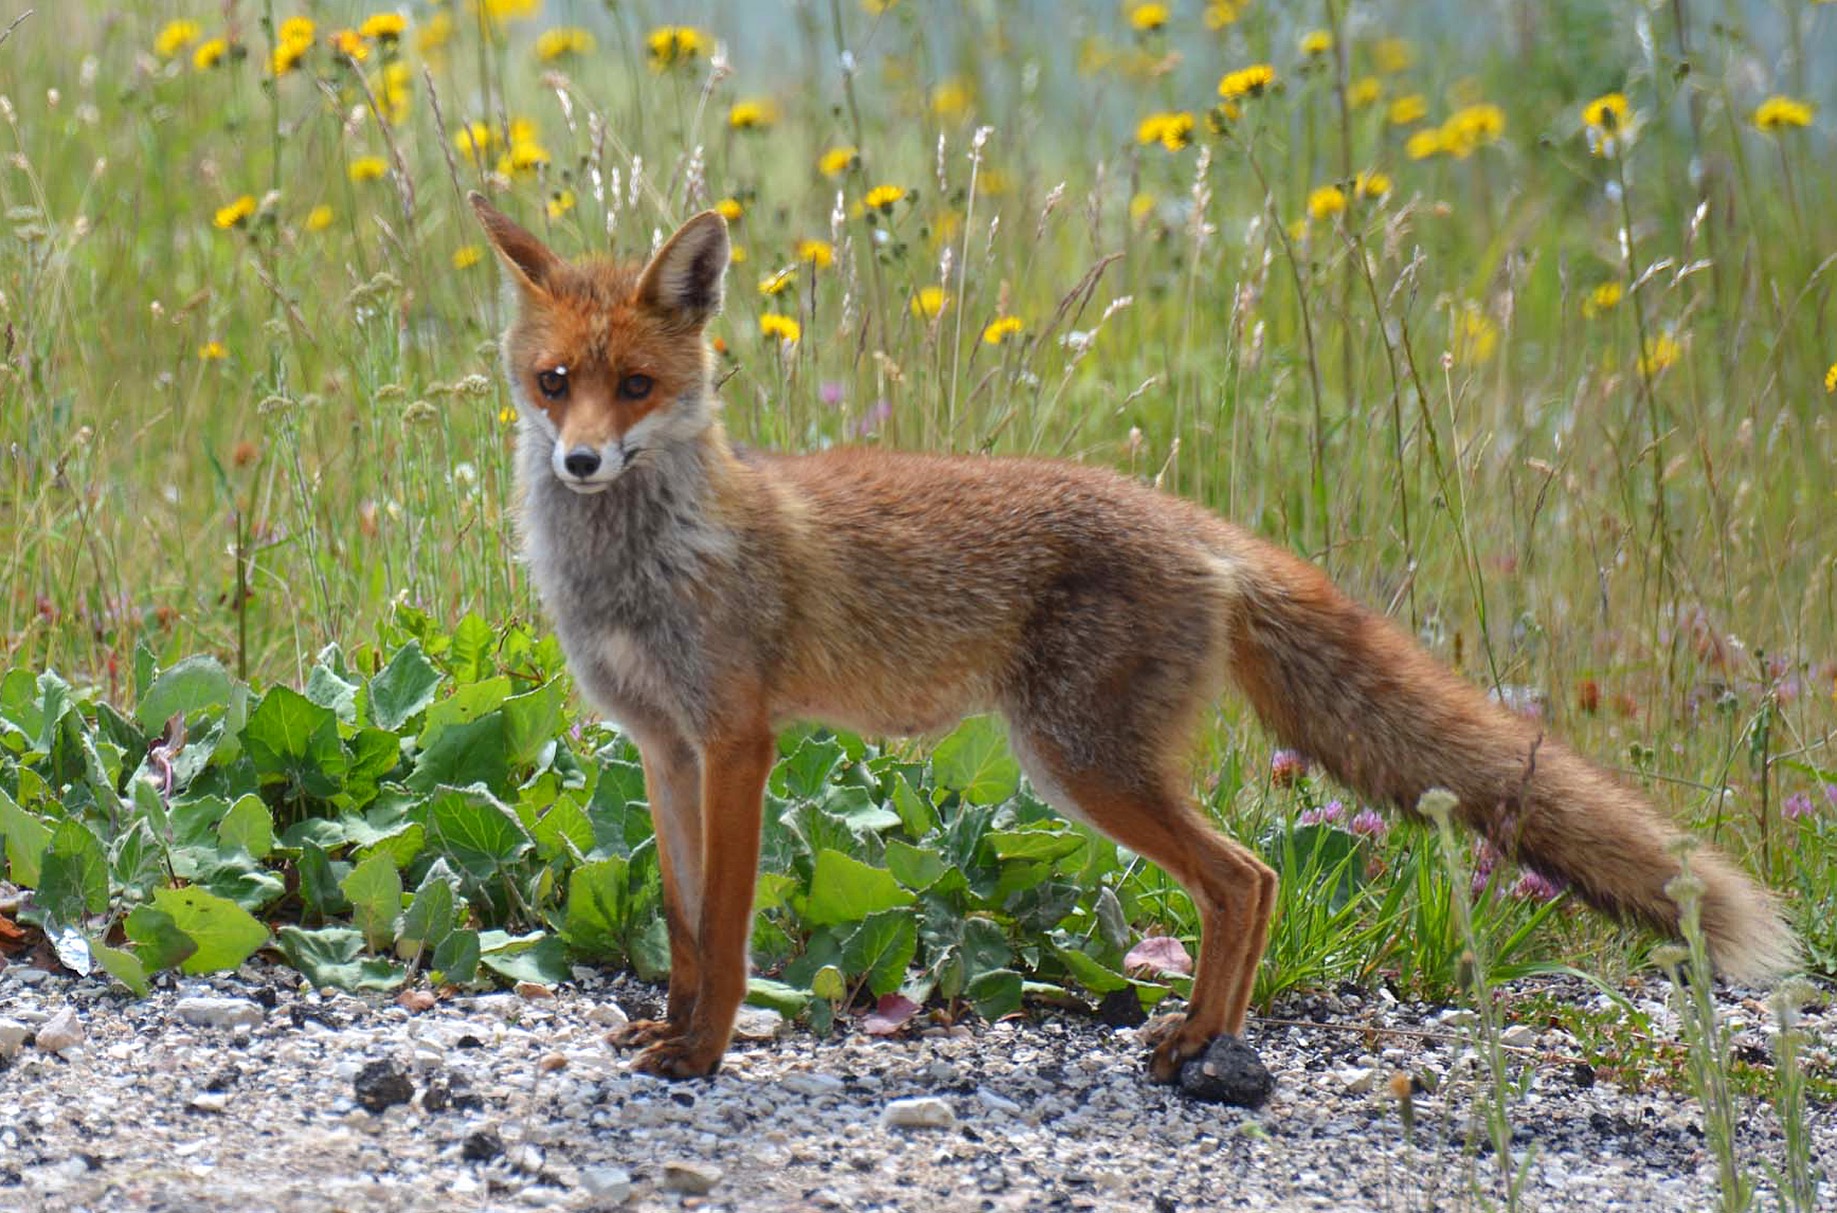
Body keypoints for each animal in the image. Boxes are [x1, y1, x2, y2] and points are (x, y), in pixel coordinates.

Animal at [469, 194, 1798, 1082]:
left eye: (637, 389)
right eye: (553, 383)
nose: (580, 463)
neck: (641, 569)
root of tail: (1198, 525)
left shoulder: (738, 741)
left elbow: (734, 924)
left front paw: (703, 1054)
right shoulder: (662, 748)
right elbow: (687, 924)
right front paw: (674, 1023)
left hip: (1080, 763)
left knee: (1247, 877)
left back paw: (1202, 1039)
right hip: (1089, 765)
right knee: (1249, 880)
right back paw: (1209, 1037)